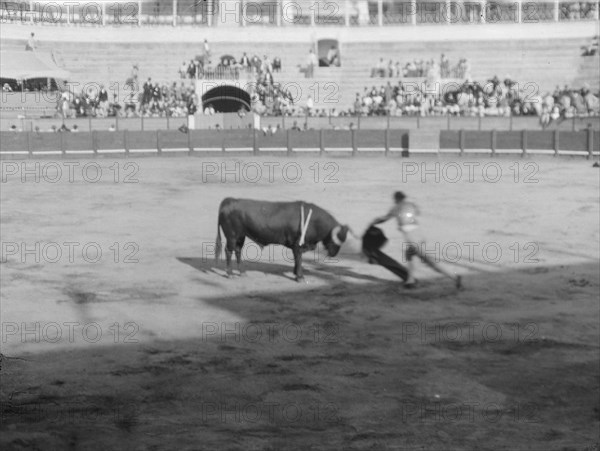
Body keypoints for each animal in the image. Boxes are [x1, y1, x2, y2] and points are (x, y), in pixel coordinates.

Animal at [216, 199, 350, 282]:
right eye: (338, 238)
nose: (333, 254)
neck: (314, 221)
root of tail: (229, 201)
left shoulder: (297, 247)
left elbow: (297, 260)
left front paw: (295, 273)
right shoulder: (298, 246)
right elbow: (299, 259)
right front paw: (300, 277)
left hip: (240, 236)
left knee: (238, 250)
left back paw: (242, 272)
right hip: (232, 236)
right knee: (229, 251)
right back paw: (230, 274)